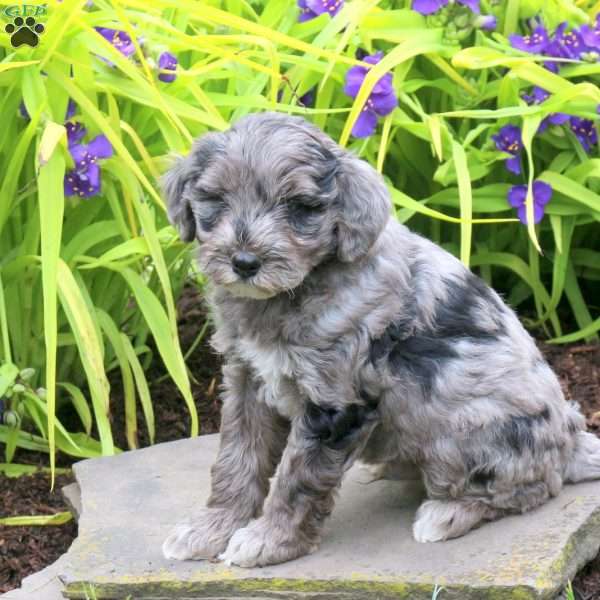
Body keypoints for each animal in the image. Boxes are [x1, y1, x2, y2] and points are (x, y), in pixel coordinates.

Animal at [159, 111, 600, 568]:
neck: (293, 292)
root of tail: (571, 441)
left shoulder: (335, 402)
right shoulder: (246, 379)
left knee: (528, 488)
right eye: (217, 199)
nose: (244, 262)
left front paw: (269, 541)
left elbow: (298, 477)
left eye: (298, 207)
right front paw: (211, 529)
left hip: (462, 430)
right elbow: (236, 459)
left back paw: (447, 515)